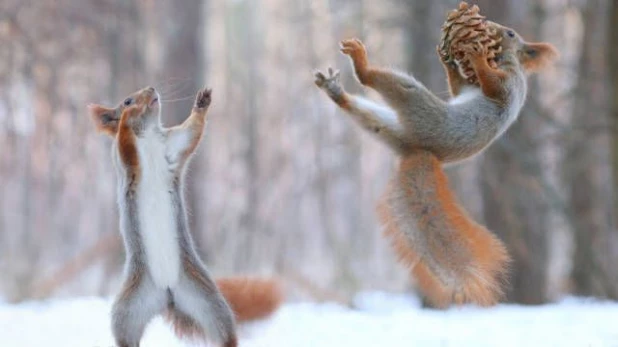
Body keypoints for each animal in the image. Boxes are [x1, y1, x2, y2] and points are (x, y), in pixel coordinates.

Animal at [88, 87, 282, 347]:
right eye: (127, 100)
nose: (151, 90)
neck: (148, 135)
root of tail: (167, 293)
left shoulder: (174, 146)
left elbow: (192, 132)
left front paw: (202, 102)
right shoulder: (124, 161)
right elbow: (124, 143)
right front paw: (127, 118)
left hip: (206, 299)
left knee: (223, 331)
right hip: (127, 310)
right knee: (126, 336)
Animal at [316, 23, 556, 308]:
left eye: (510, 34)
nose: (493, 28)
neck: (504, 61)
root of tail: (419, 150)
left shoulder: (509, 84)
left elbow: (493, 86)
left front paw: (476, 57)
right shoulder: (470, 87)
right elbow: (458, 89)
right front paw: (449, 61)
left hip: (419, 106)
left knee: (377, 81)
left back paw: (360, 63)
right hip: (386, 127)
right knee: (365, 114)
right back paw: (335, 91)